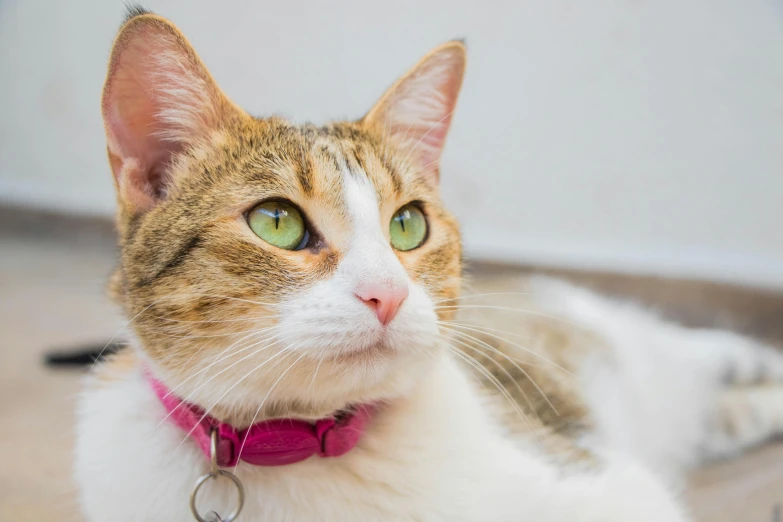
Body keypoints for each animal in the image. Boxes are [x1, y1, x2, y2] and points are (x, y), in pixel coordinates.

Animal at [76, 8, 783, 520]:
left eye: (408, 224)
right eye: (276, 221)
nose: (387, 294)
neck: (308, 448)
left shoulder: (602, 482)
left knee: (710, 351)